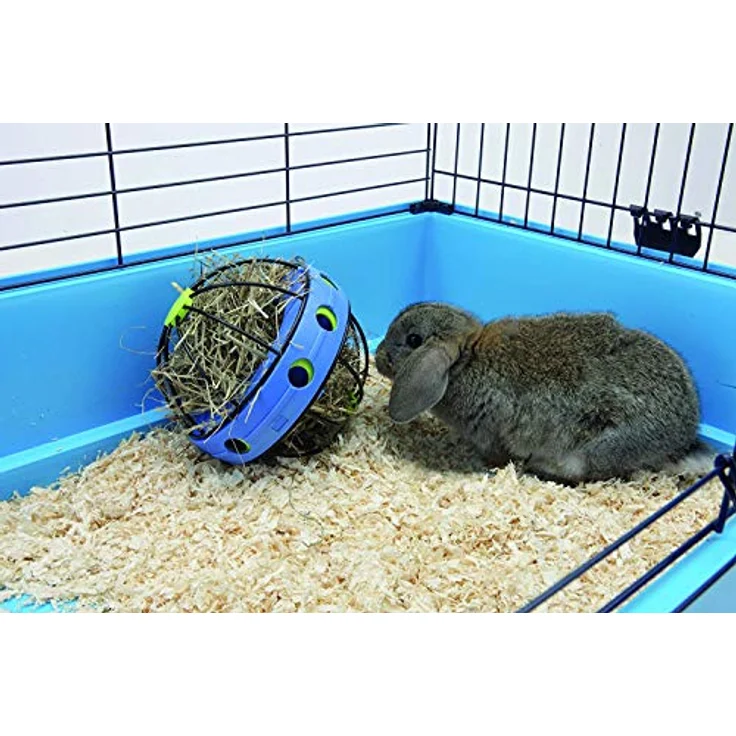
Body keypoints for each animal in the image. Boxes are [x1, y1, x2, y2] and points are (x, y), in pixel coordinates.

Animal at [375, 301, 714, 485]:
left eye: (414, 340)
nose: (378, 358)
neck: (466, 360)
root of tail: (681, 438)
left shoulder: (491, 435)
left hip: (601, 447)